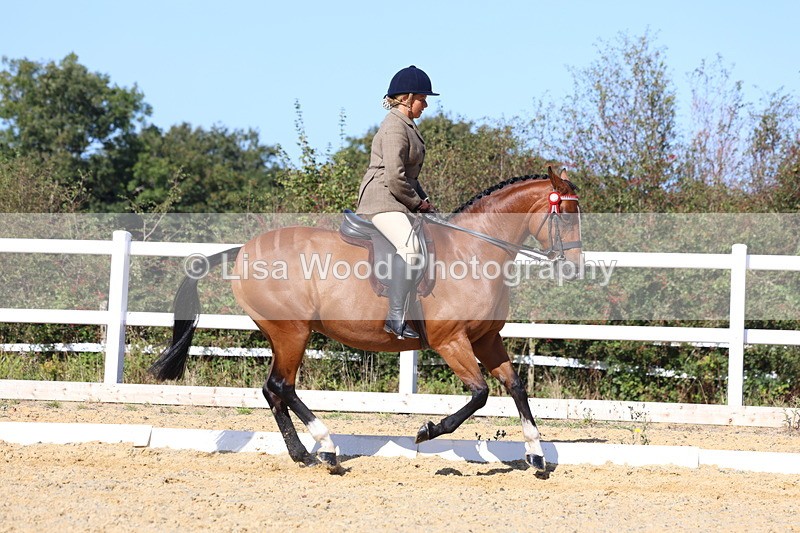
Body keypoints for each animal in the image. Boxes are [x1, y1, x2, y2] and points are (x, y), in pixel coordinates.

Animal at [150, 166, 582, 474]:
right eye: (566, 216)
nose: (573, 268)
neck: (474, 251)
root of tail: (243, 251)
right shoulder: (451, 341)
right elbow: (480, 394)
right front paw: (427, 431)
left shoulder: (486, 339)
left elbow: (516, 387)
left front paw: (537, 457)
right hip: (292, 332)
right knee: (282, 386)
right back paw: (326, 450)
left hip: (282, 334)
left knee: (273, 390)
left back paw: (303, 455)